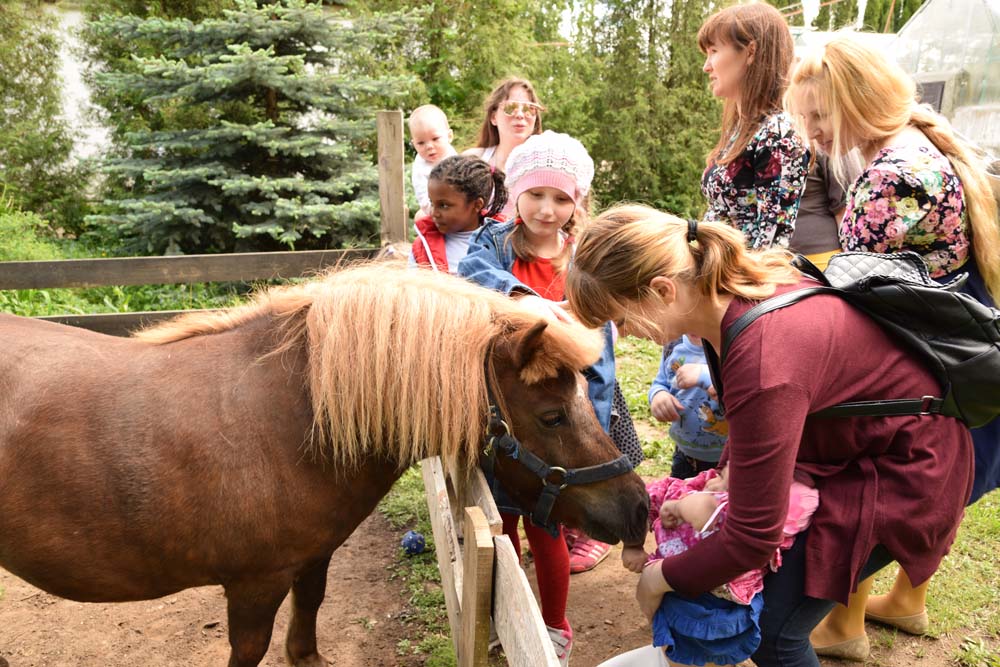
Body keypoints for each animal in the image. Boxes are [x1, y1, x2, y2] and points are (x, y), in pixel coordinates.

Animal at [0, 266, 648, 667]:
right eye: (551, 415)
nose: (637, 507)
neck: (287, 417)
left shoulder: (311, 557)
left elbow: (308, 611)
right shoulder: (254, 586)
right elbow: (250, 648)